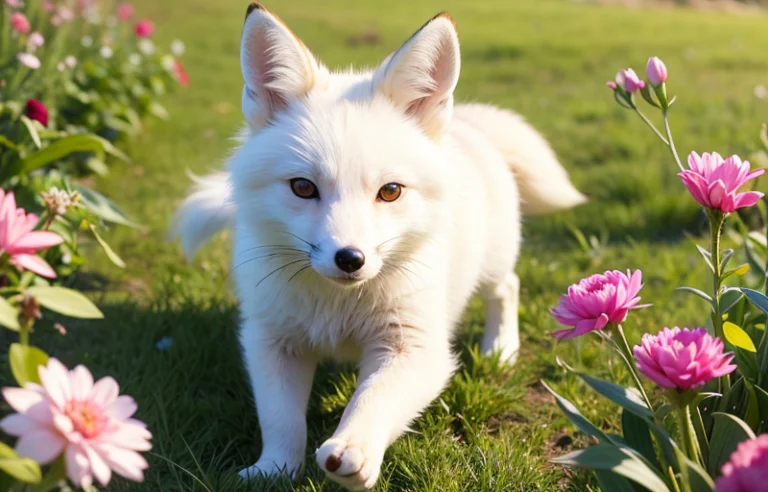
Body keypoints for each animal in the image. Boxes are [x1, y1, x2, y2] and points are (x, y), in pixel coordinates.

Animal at [172, 3, 586, 490]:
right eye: (302, 187)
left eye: (390, 191)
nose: (350, 259)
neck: (340, 308)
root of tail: (465, 120)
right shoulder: (272, 339)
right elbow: (280, 418)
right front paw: (274, 469)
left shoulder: (415, 346)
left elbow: (372, 399)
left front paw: (353, 449)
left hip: (491, 263)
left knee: (508, 287)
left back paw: (500, 349)